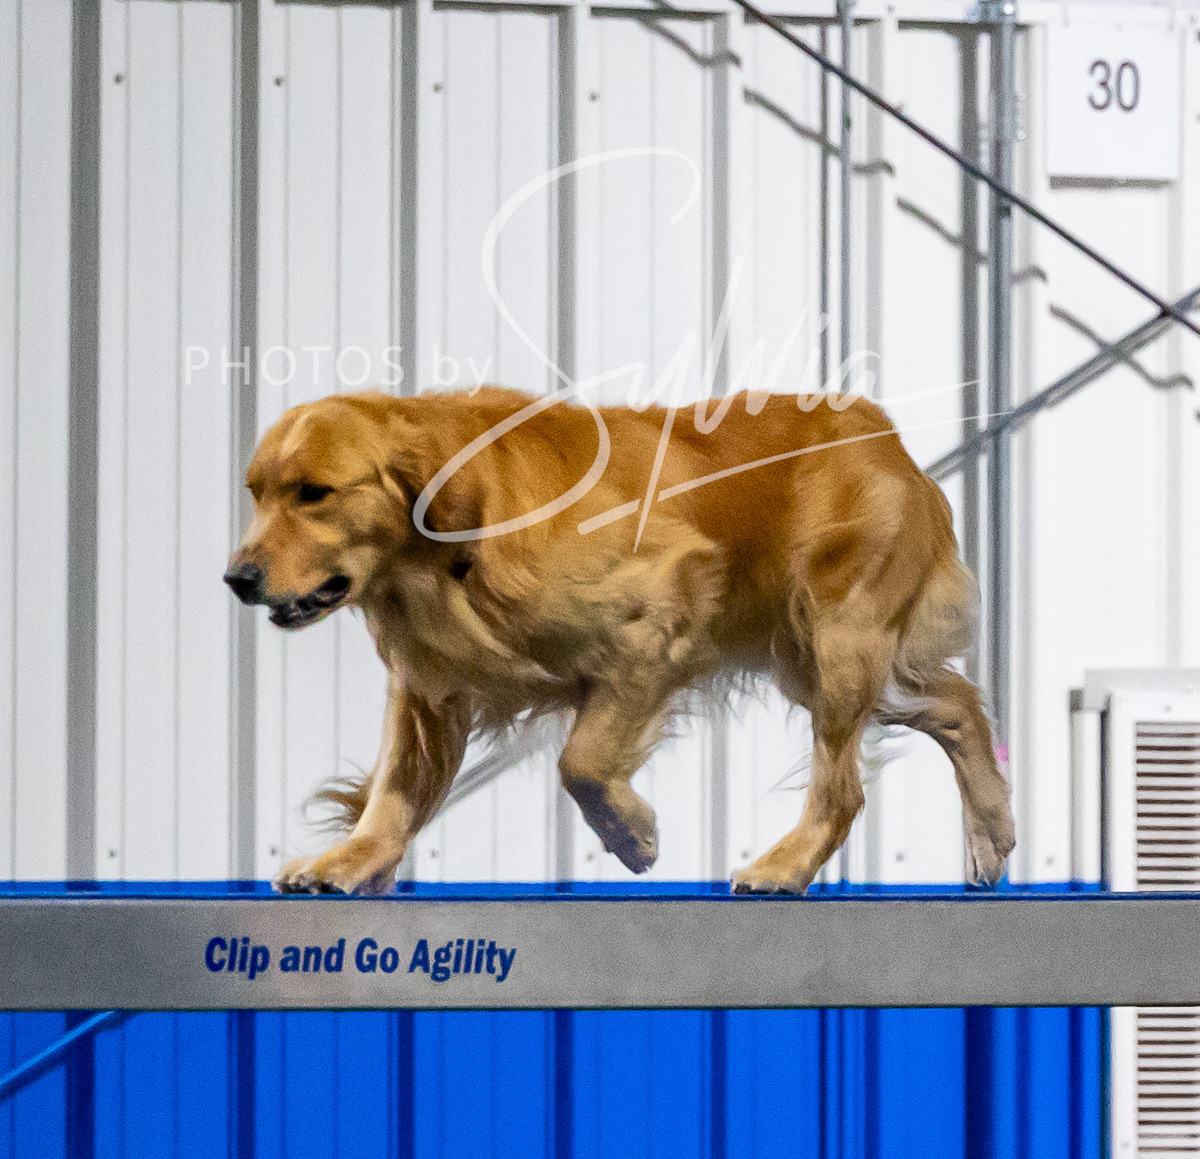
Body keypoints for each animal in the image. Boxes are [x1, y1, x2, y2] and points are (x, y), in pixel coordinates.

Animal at [225, 386, 1014, 894]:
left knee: (843, 787)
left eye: (314, 493)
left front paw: (631, 833)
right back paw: (992, 831)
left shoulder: (665, 601)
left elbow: (582, 759)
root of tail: (887, 435)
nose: (236, 577)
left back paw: (783, 867)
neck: (453, 539)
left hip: (837, 638)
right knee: (956, 705)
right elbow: (394, 787)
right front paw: (352, 859)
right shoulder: (429, 686)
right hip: (810, 656)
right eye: (256, 493)